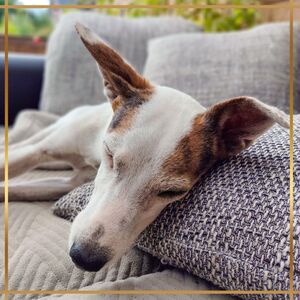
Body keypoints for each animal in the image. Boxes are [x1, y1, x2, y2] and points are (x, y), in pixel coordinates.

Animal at [0, 22, 290, 272]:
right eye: (110, 154)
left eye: (172, 192)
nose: (84, 258)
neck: (94, 156)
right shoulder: (41, 151)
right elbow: (14, 163)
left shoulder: (68, 182)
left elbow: (20, 188)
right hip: (50, 135)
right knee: (26, 142)